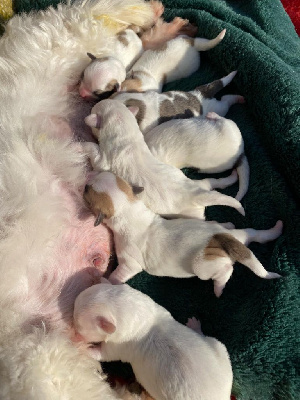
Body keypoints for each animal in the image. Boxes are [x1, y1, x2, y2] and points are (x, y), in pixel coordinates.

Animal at [74, 280, 233, 400]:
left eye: (79, 326)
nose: (75, 334)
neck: (142, 317)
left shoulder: (120, 345)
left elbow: (104, 354)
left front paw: (82, 345)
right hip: (220, 350)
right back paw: (196, 327)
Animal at [82, 99, 244, 220]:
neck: (124, 133)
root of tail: (196, 195)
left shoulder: (103, 160)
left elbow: (93, 151)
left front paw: (82, 145)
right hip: (201, 184)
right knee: (216, 182)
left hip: (190, 214)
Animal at [83, 170, 282, 296]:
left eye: (86, 190)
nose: (88, 176)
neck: (129, 207)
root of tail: (221, 238)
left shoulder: (130, 263)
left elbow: (118, 274)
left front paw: (108, 281)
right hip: (239, 235)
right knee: (253, 233)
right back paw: (275, 229)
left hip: (203, 267)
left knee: (225, 269)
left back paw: (219, 288)